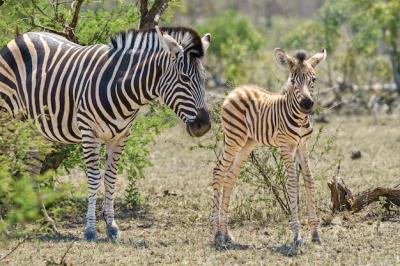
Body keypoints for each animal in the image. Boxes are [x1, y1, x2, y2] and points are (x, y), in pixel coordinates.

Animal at [0, 26, 212, 241]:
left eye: (204, 79)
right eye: (184, 78)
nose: (204, 126)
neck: (123, 87)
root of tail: (22, 36)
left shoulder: (121, 136)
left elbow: (110, 178)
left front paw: (111, 226)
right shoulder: (89, 133)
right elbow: (94, 179)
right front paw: (90, 229)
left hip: (36, 130)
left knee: (31, 170)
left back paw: (43, 220)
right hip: (7, 117)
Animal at [214, 47, 326, 247]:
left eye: (313, 79)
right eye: (292, 80)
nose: (307, 104)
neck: (299, 118)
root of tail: (235, 90)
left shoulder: (302, 145)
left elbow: (309, 181)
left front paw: (315, 233)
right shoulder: (286, 146)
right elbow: (292, 183)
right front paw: (297, 235)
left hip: (247, 143)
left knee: (229, 177)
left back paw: (227, 234)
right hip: (234, 139)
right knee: (218, 172)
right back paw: (217, 234)